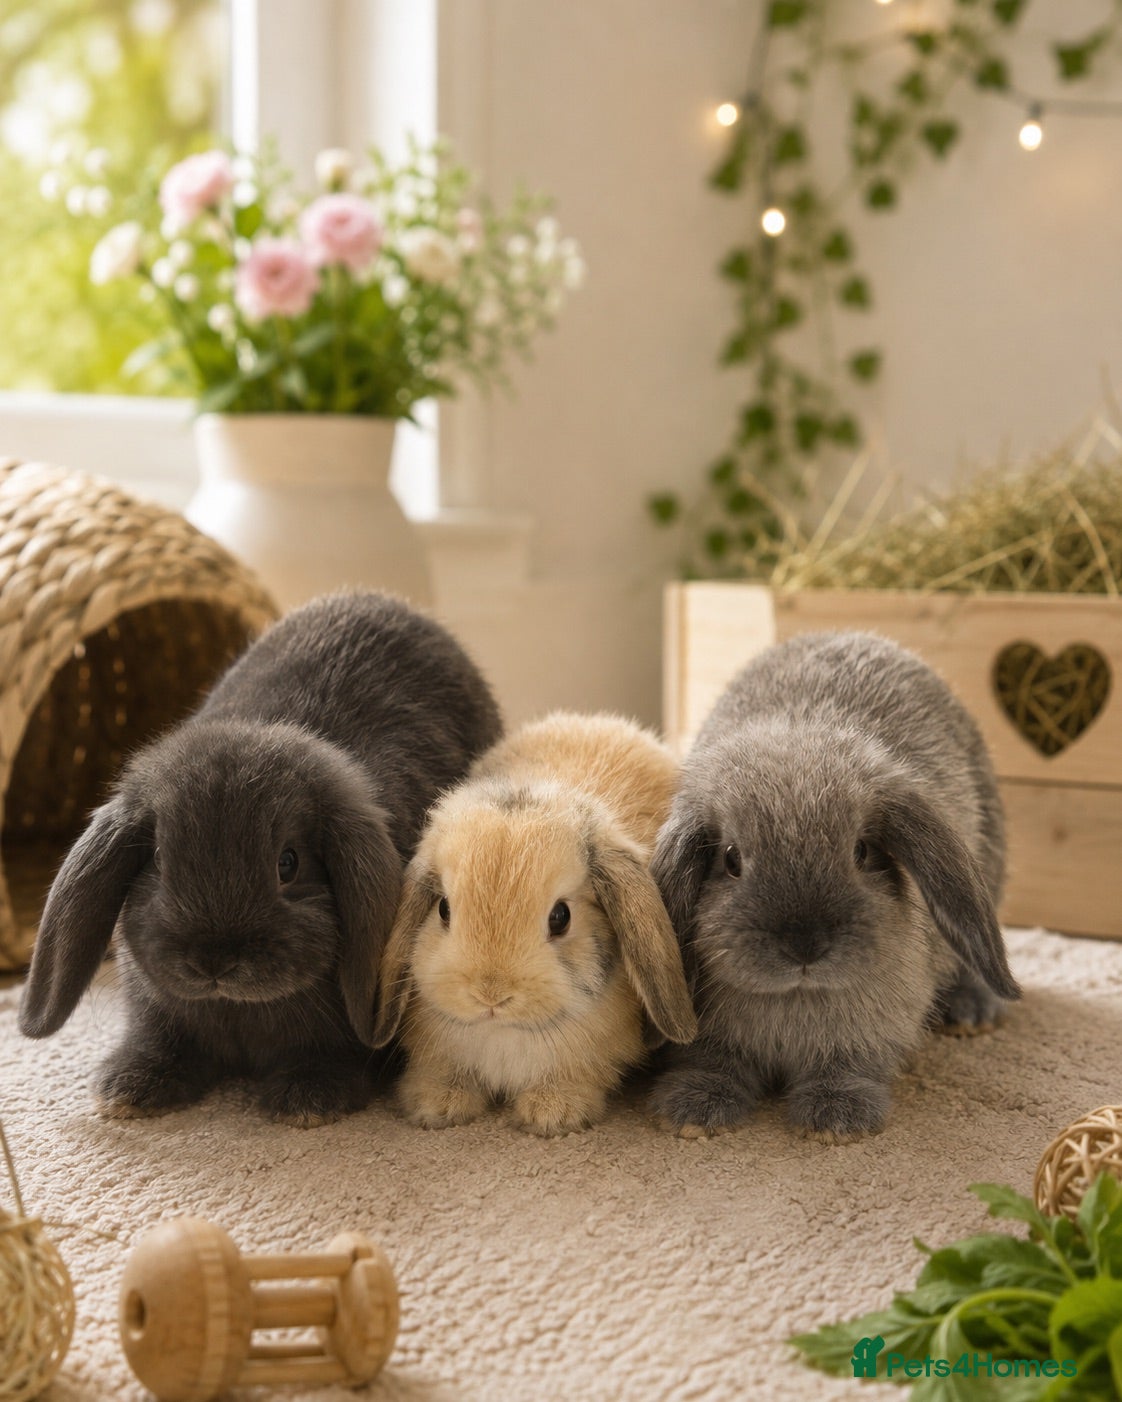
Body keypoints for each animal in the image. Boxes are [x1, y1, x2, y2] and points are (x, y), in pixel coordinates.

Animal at [19, 591, 502, 1127]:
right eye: (160, 861)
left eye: (288, 863)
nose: (213, 962)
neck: (236, 1008)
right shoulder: (157, 1012)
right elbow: (160, 1041)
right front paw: (128, 1089)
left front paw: (309, 1099)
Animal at [372, 712, 698, 1136]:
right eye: (443, 908)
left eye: (560, 917)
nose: (490, 995)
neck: (503, 1032)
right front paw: (438, 1106)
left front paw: (552, 1113)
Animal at [648, 630, 1020, 1144]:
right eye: (731, 859)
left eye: (861, 851)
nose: (805, 945)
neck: (797, 997)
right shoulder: (710, 1040)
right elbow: (715, 1063)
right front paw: (693, 1112)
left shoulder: (870, 1036)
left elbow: (849, 1066)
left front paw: (837, 1119)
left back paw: (972, 1012)